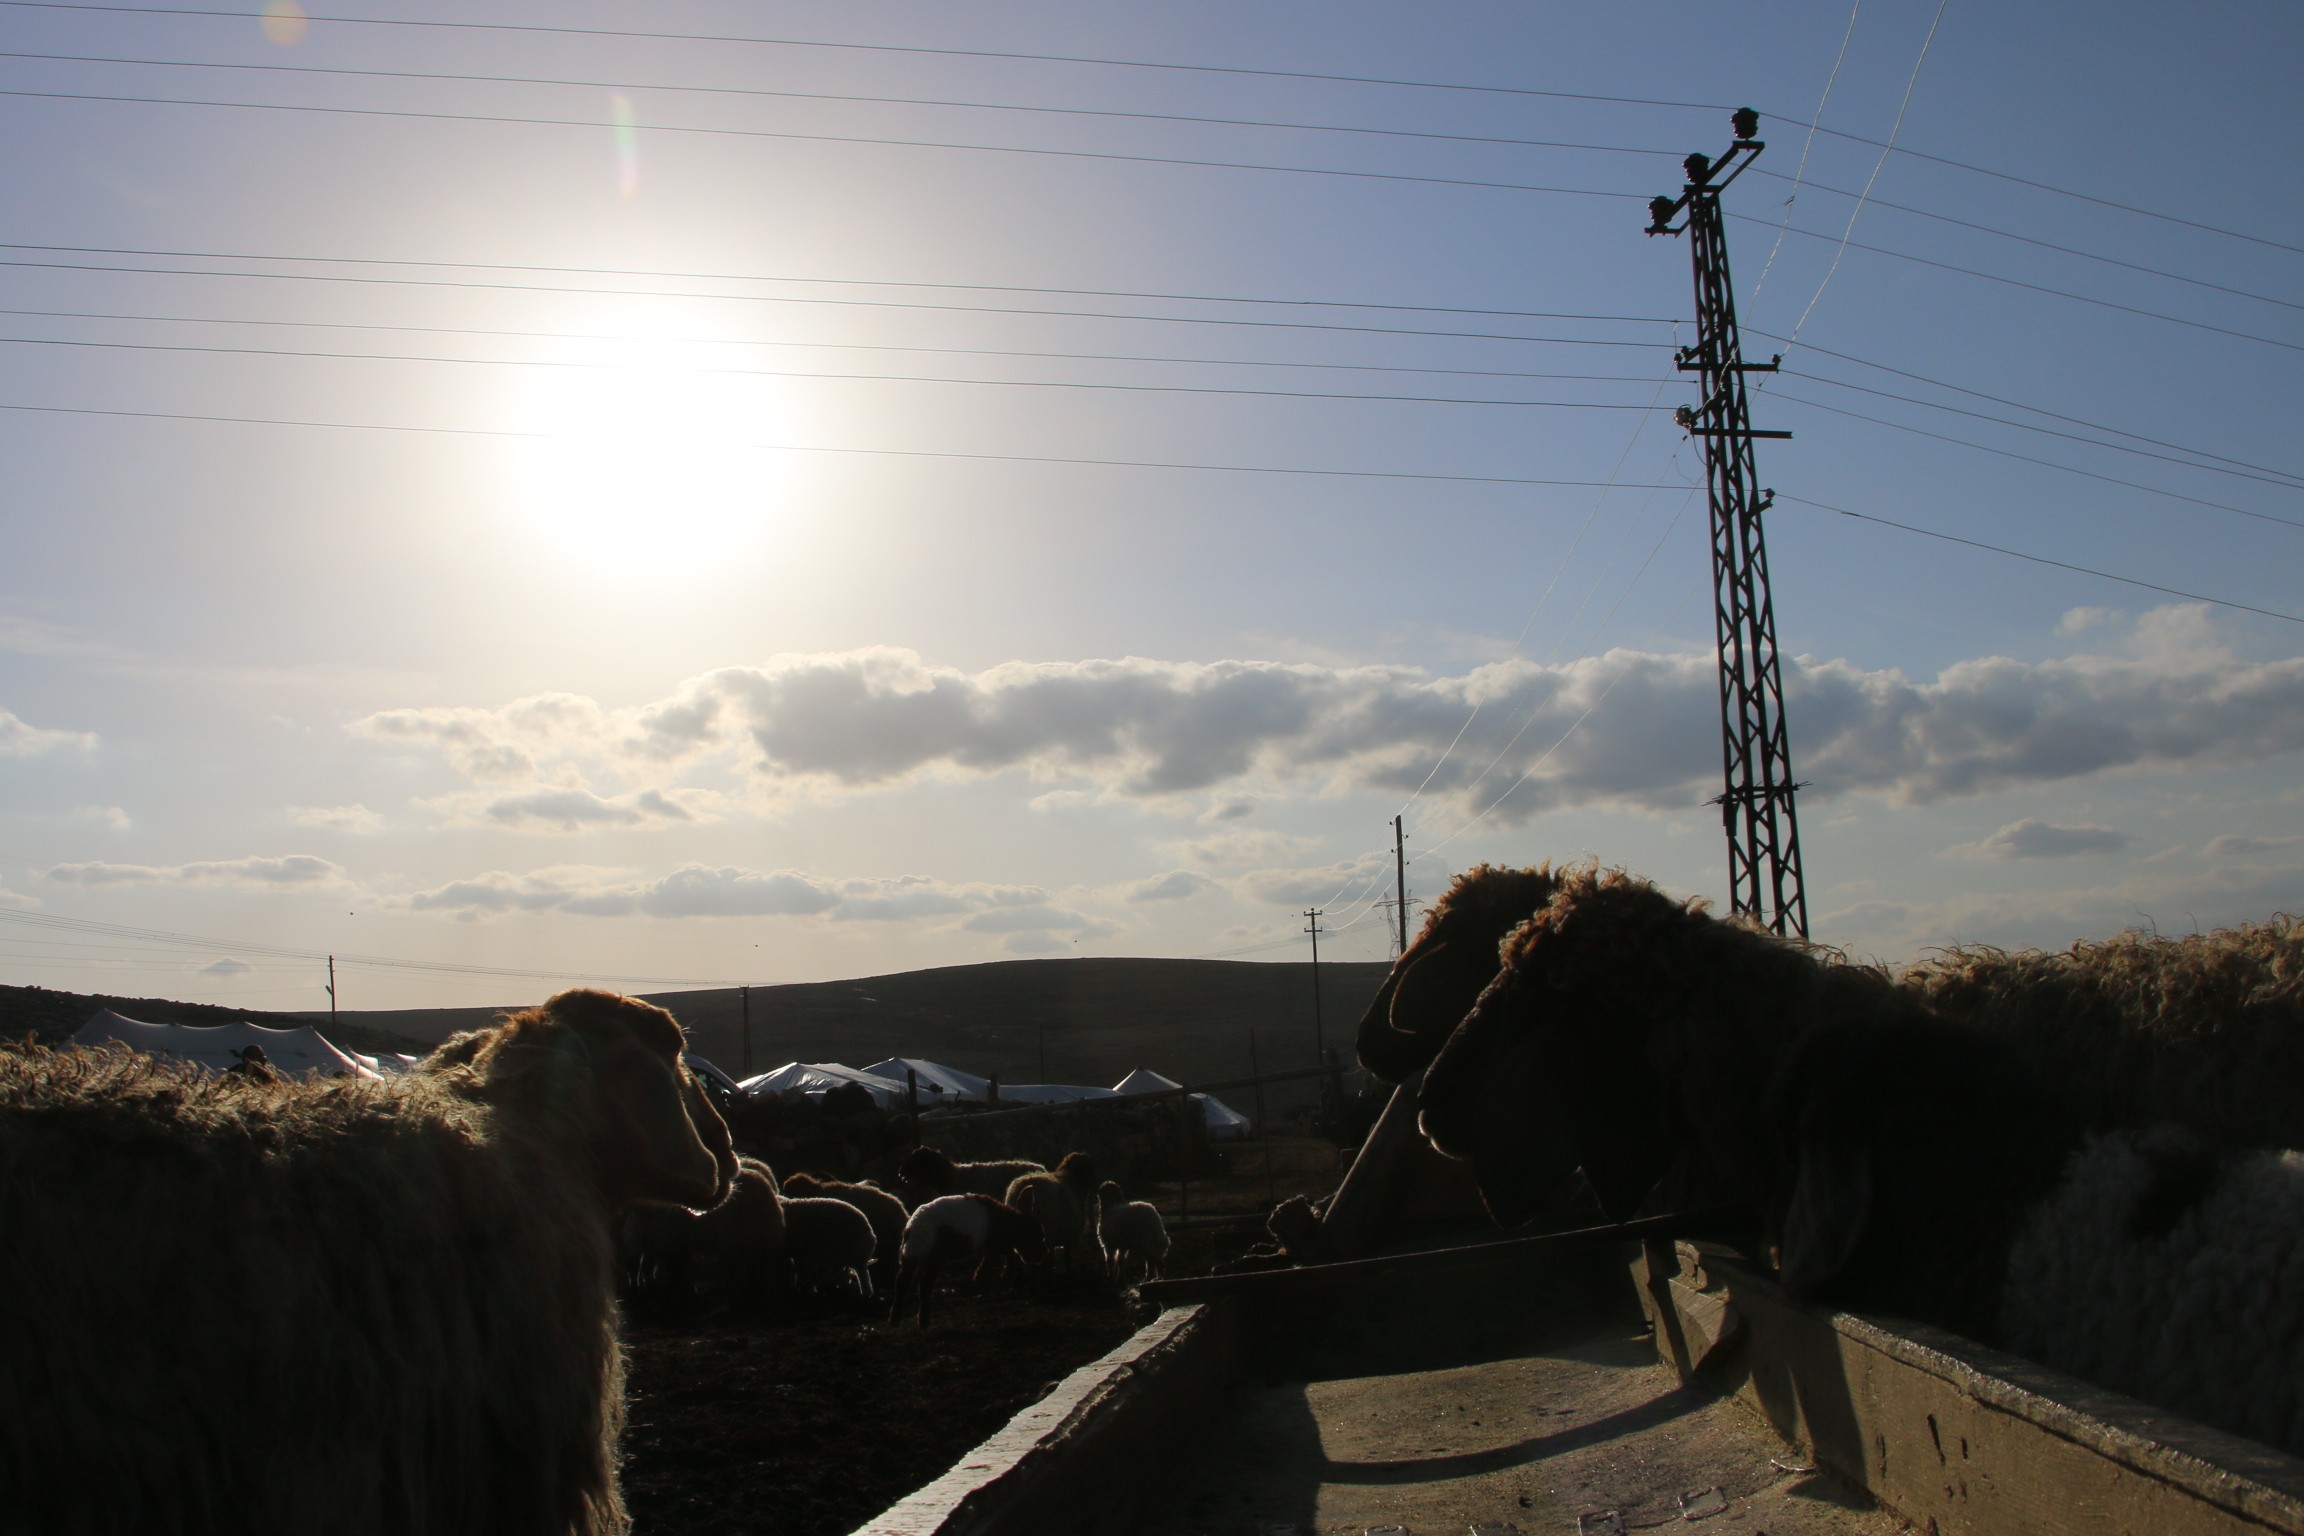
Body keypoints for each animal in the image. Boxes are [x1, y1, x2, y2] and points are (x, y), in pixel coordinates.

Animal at [884, 1197, 1050, 1326]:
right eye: (1037, 1236)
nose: (1044, 1254)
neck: (1008, 1223)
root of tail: (915, 1229)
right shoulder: (996, 1242)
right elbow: (1004, 1254)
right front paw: (998, 1276)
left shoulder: (992, 1244)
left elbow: (995, 1256)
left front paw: (982, 1277)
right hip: (934, 1257)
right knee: (924, 1285)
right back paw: (923, 1321)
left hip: (908, 1257)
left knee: (902, 1282)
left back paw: (895, 1319)